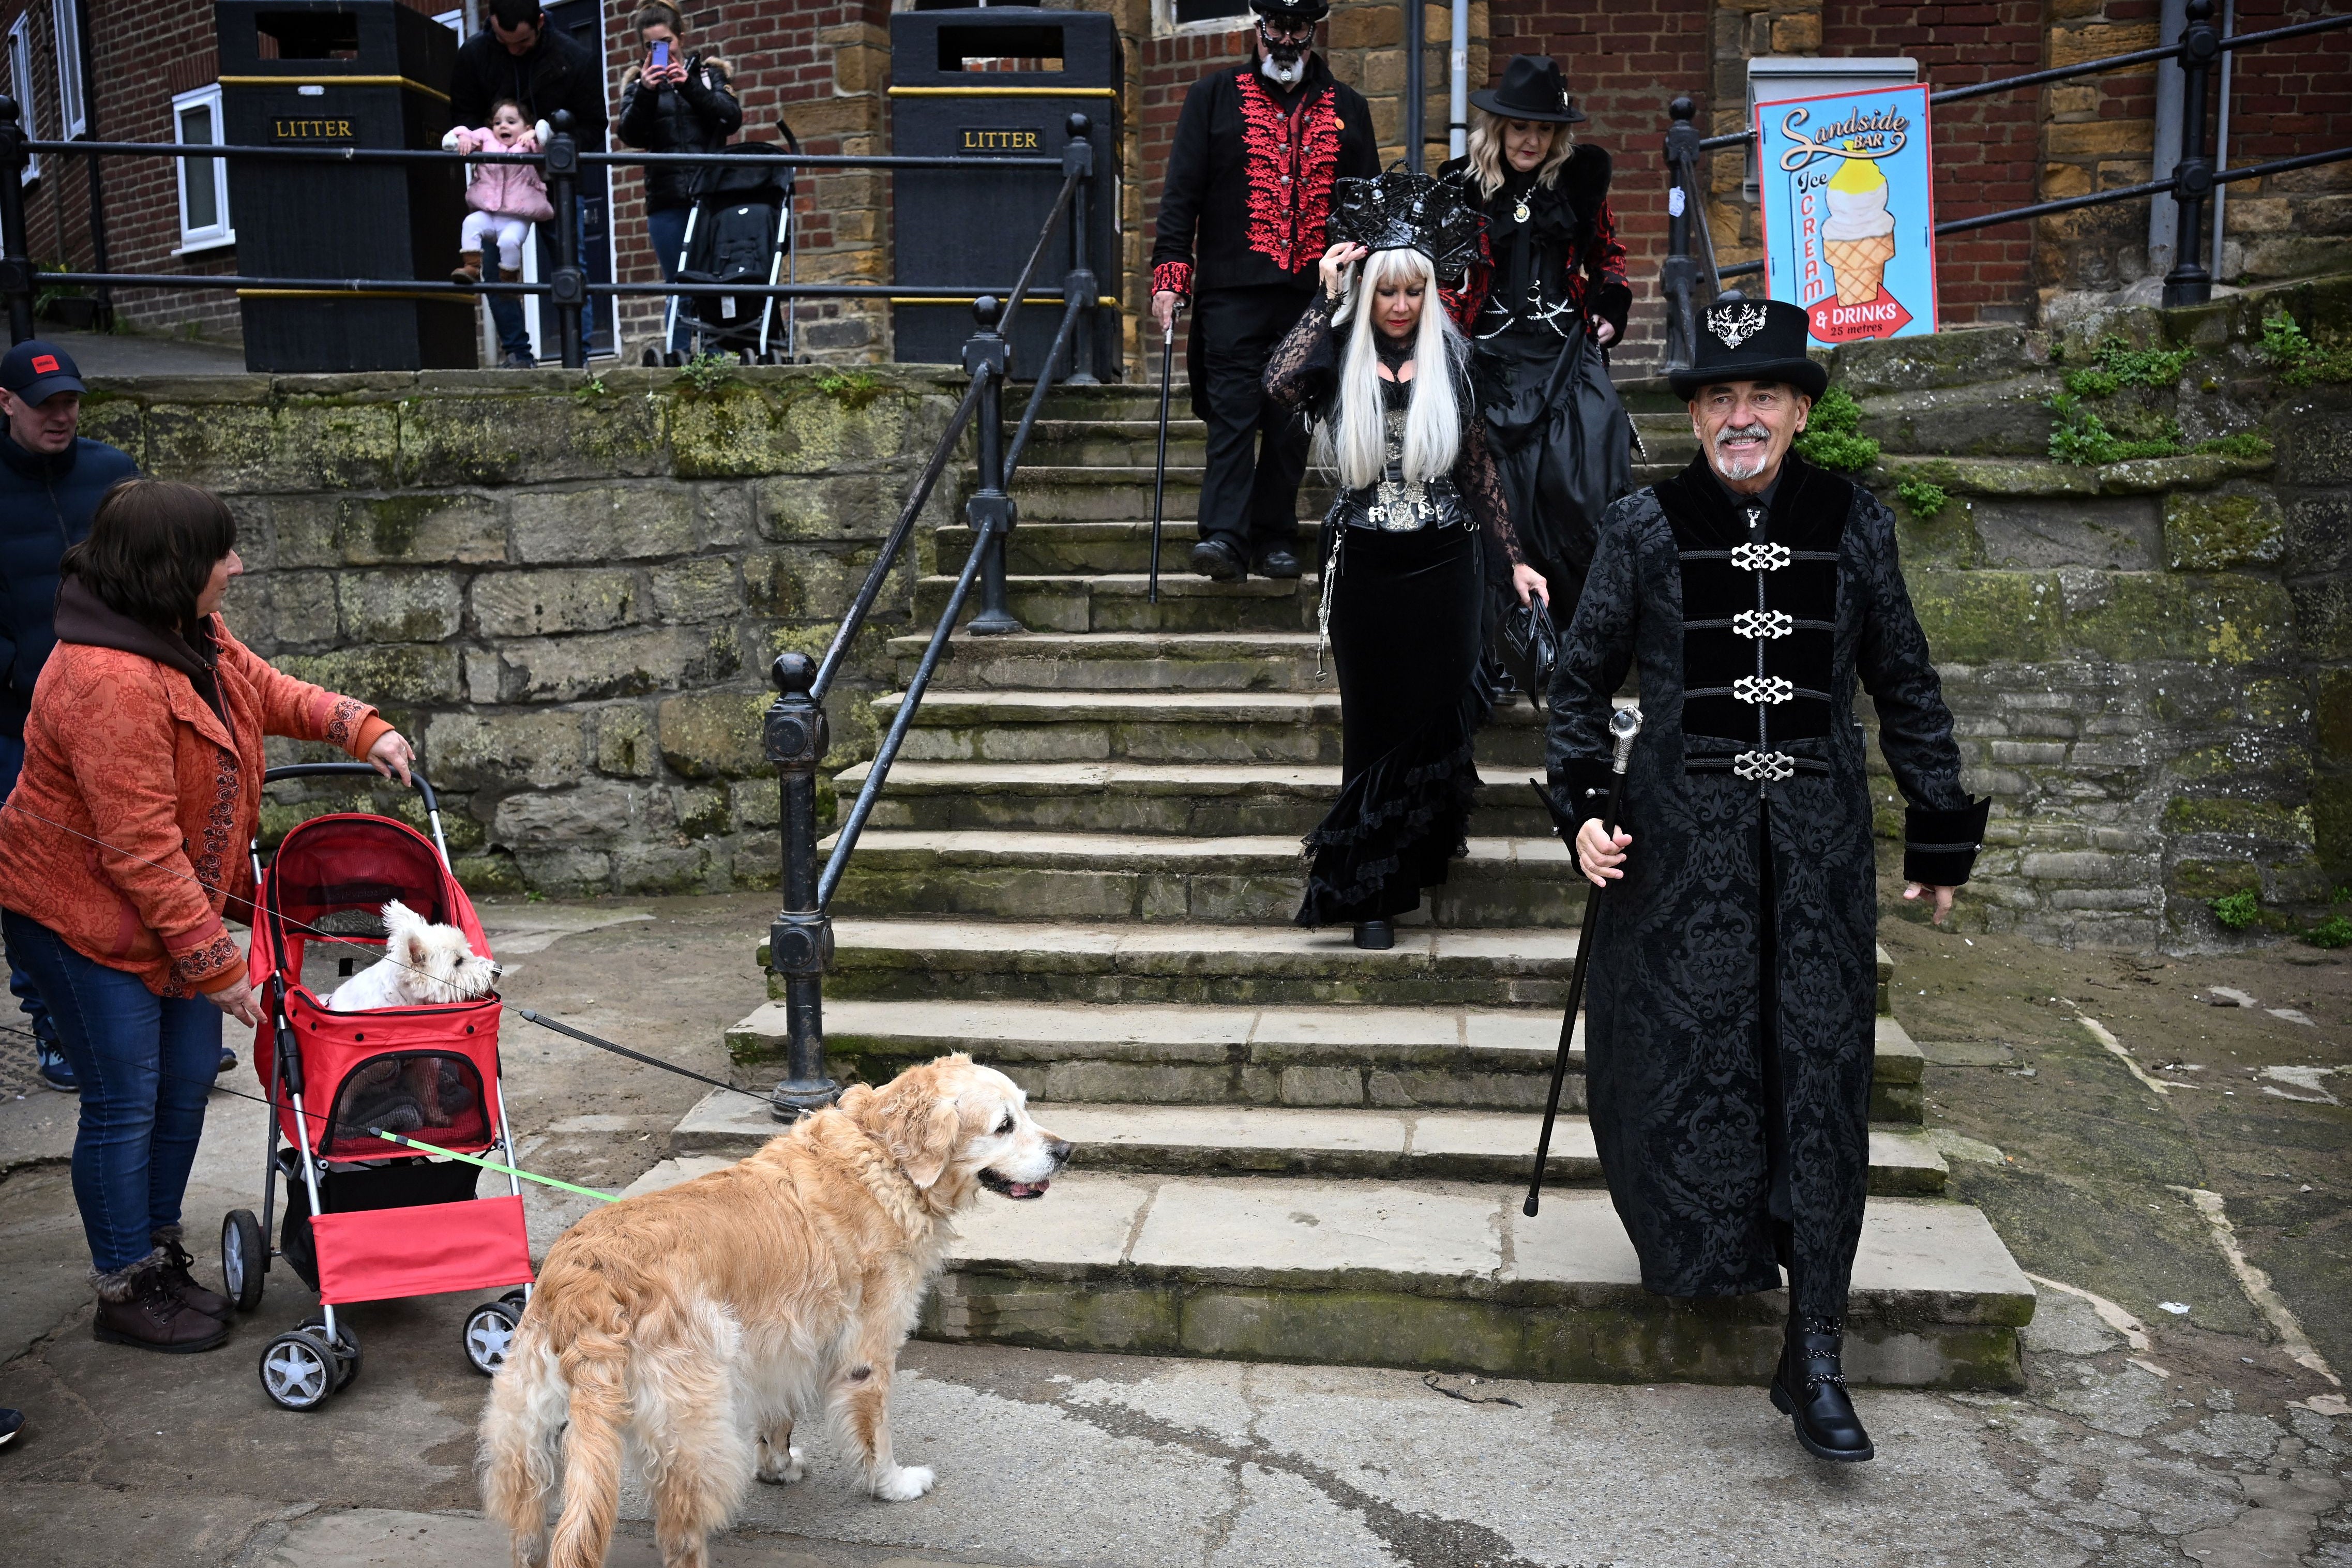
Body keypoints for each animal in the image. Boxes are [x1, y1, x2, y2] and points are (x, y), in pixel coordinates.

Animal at [477, 1054, 1071, 1568]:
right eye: (1004, 1125)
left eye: (1027, 1109)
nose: (1067, 1150)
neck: (882, 1158)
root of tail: (588, 1279)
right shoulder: (867, 1353)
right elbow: (876, 1436)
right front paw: (893, 1485)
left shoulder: (780, 1343)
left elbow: (778, 1416)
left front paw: (778, 1468)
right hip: (694, 1431)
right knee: (679, 1532)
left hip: (524, 1436)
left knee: (528, 1531)